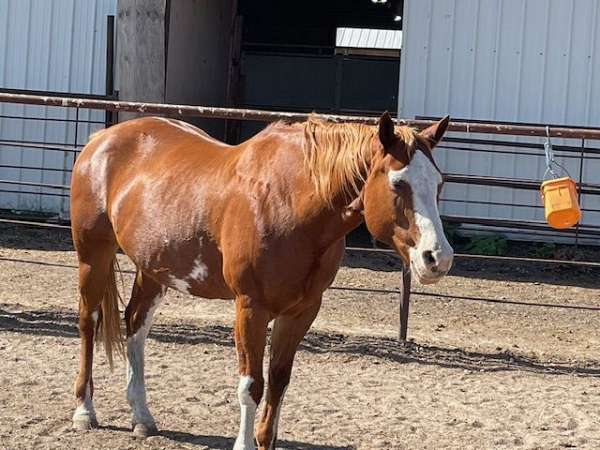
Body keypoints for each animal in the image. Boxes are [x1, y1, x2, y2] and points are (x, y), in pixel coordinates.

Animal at [70, 112, 452, 450]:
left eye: (439, 184)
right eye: (398, 183)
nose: (438, 258)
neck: (292, 203)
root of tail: (100, 140)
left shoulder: (301, 311)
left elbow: (279, 381)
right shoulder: (250, 308)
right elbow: (252, 384)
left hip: (152, 269)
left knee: (135, 325)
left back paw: (142, 418)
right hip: (93, 256)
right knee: (89, 321)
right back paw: (84, 411)